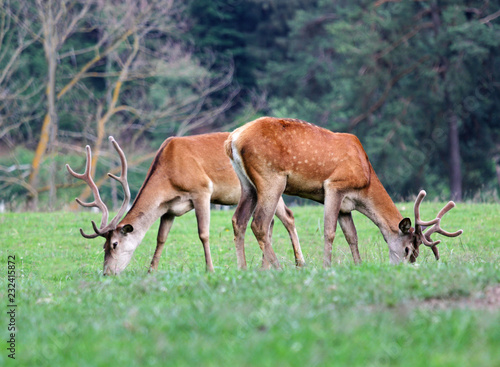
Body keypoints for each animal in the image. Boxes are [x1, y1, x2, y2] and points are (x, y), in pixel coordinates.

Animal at [64, 134, 302, 274]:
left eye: (114, 244)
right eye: (103, 246)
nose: (107, 273)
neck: (170, 176)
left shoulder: (202, 190)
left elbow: (203, 233)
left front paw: (210, 269)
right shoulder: (168, 208)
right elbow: (161, 238)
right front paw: (151, 271)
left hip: (271, 185)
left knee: (288, 217)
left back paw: (296, 263)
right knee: (272, 221)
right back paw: (265, 267)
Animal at [225, 118, 462, 270]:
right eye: (407, 249)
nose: (403, 268)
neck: (365, 180)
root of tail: (232, 140)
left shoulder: (346, 205)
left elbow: (352, 235)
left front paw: (358, 265)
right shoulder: (334, 186)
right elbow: (330, 231)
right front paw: (326, 266)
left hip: (247, 183)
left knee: (238, 220)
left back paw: (242, 268)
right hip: (271, 177)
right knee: (259, 223)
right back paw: (277, 267)